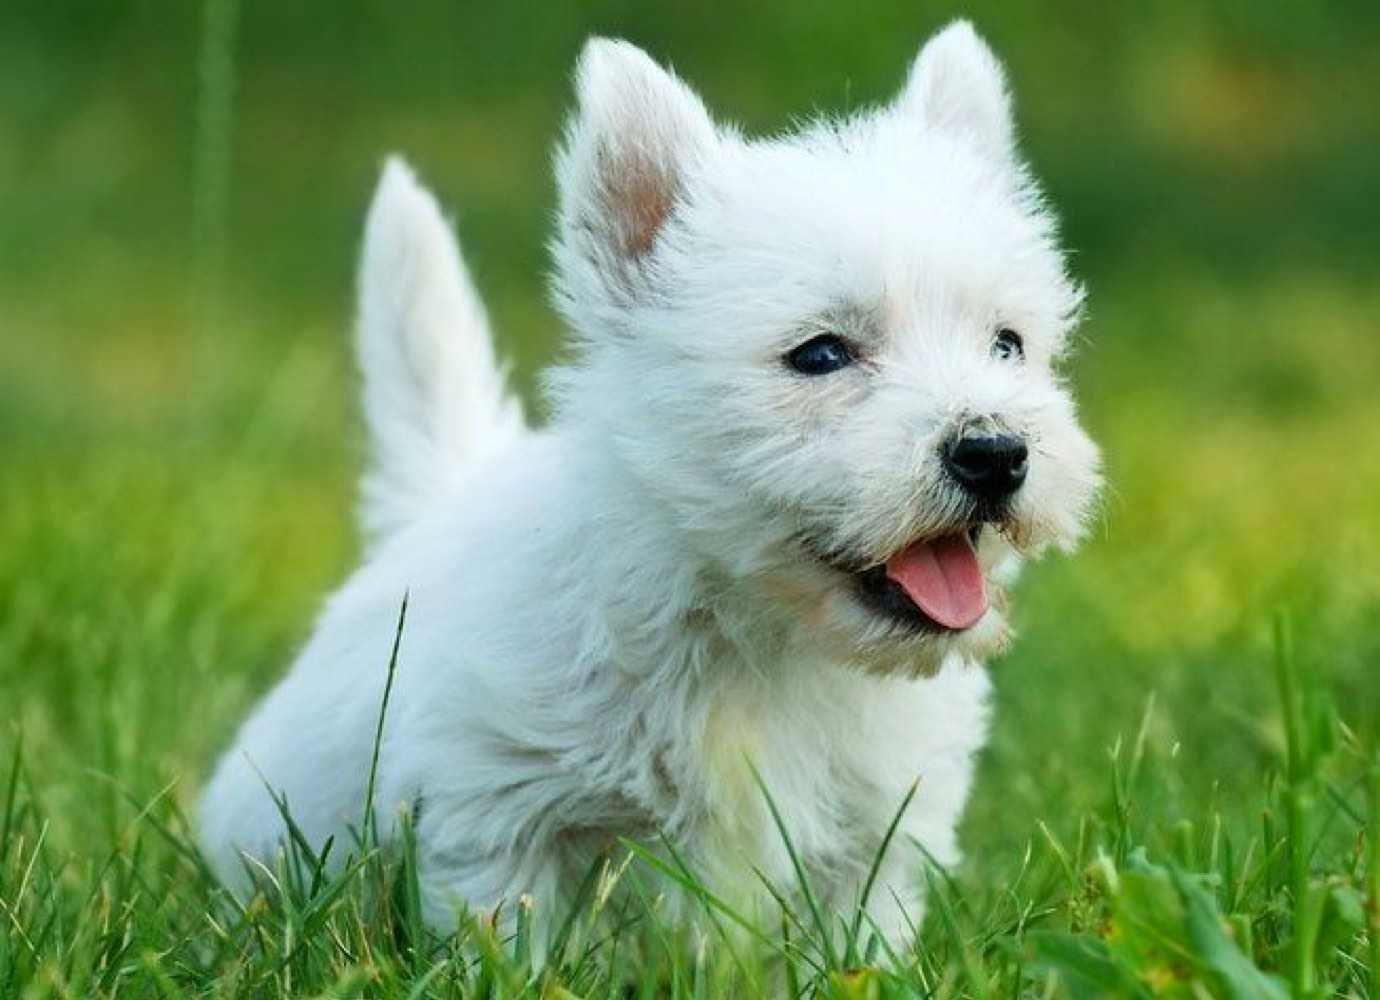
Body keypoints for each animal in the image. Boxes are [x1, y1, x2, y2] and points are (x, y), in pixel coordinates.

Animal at [200, 19, 1098, 948]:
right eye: (820, 354)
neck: (757, 639)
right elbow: (514, 938)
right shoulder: (496, 807)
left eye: (1007, 343)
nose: (995, 451)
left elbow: (859, 943)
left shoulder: (878, 837)